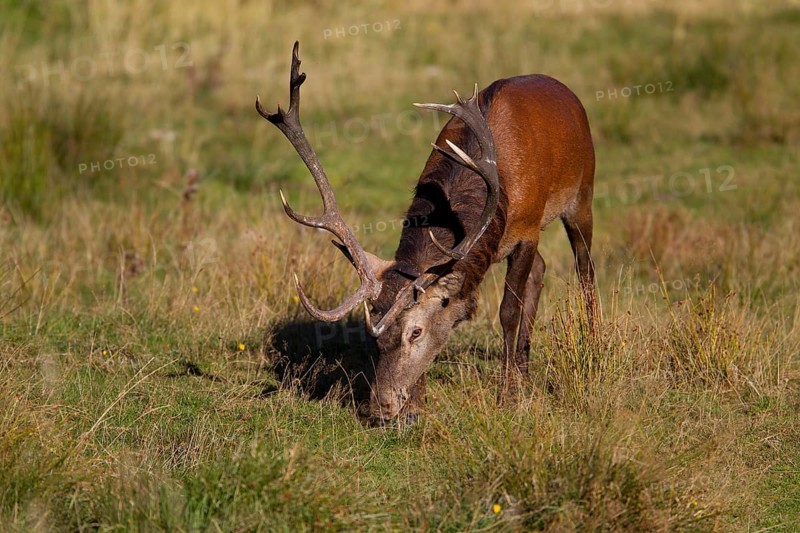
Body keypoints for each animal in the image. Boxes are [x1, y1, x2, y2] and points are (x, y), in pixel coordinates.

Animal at [257, 42, 596, 424]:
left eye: (415, 331)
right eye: (375, 336)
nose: (381, 407)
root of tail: (568, 94)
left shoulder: (527, 228)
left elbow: (509, 311)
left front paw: (507, 397)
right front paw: (416, 406)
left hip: (582, 194)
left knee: (585, 270)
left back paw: (590, 351)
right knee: (541, 269)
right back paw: (525, 369)